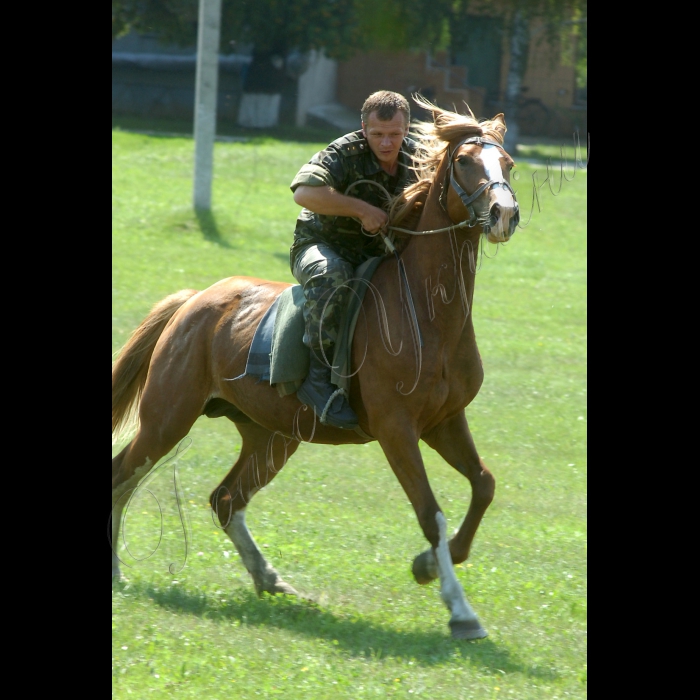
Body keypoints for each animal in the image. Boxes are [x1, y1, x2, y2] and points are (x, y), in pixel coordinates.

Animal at [112, 105, 520, 640]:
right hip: (167, 420)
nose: (504, 214)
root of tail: (194, 300)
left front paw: (429, 565)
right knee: (123, 477)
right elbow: (430, 512)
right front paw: (460, 610)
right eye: (466, 162)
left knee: (226, 498)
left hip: (272, 436)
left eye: (508, 164)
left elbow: (484, 486)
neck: (429, 313)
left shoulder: (445, 423)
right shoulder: (397, 430)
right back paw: (119, 573)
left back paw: (271, 580)